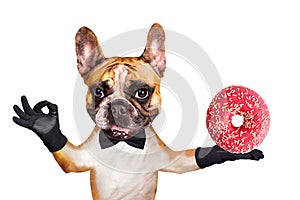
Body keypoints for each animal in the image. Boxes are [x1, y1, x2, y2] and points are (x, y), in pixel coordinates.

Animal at [12, 23, 264, 200]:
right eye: (99, 92)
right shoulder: (83, 159)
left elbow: (188, 160)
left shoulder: (166, 159)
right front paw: (44, 124)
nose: (118, 105)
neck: (125, 144)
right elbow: (71, 158)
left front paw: (225, 151)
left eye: (142, 92)